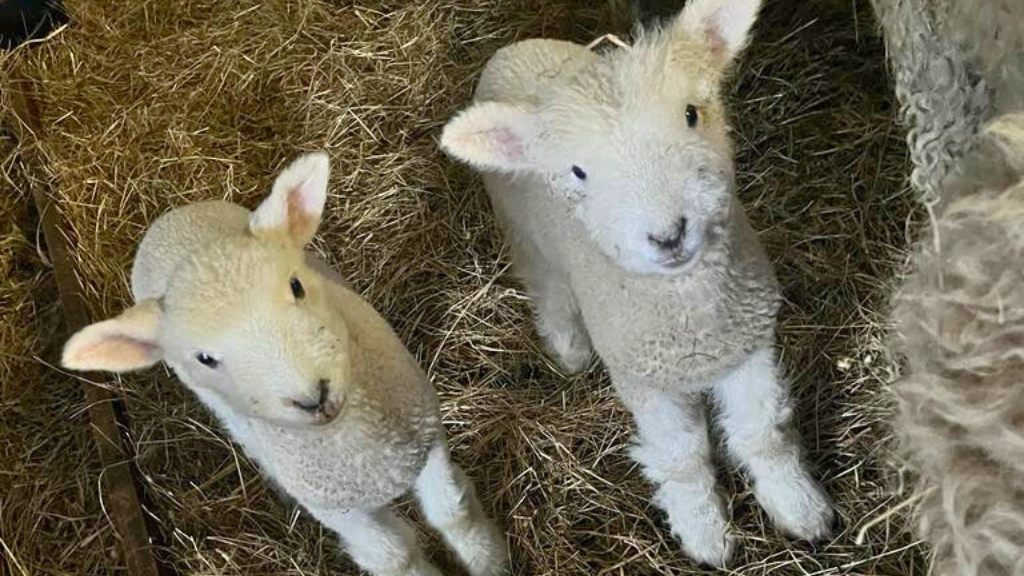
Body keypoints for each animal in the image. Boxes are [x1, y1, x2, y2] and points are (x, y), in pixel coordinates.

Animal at [60, 153, 507, 576]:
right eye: (205, 358)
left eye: (296, 285)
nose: (313, 397)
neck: (365, 451)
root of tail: (166, 220)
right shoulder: (336, 509)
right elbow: (392, 556)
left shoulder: (427, 435)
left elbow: (452, 513)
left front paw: (488, 559)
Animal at [439, 0, 834, 566]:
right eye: (577, 171)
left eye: (692, 113)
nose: (668, 235)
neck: (693, 323)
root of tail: (513, 48)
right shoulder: (643, 381)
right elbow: (682, 459)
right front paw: (704, 534)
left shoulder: (750, 347)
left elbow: (763, 433)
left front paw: (799, 507)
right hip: (522, 229)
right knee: (546, 288)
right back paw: (569, 348)